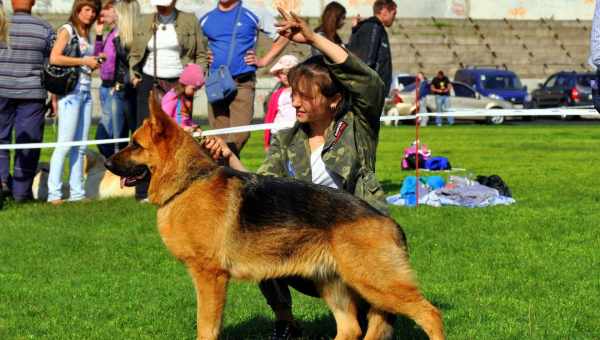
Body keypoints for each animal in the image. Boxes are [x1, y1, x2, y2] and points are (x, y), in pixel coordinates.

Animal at [105, 93, 446, 340]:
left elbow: (206, 328)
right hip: (334, 285)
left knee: (430, 314)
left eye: (135, 145)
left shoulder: (210, 277)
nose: (106, 163)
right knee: (351, 329)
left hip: (375, 283)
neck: (189, 183)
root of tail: (388, 222)